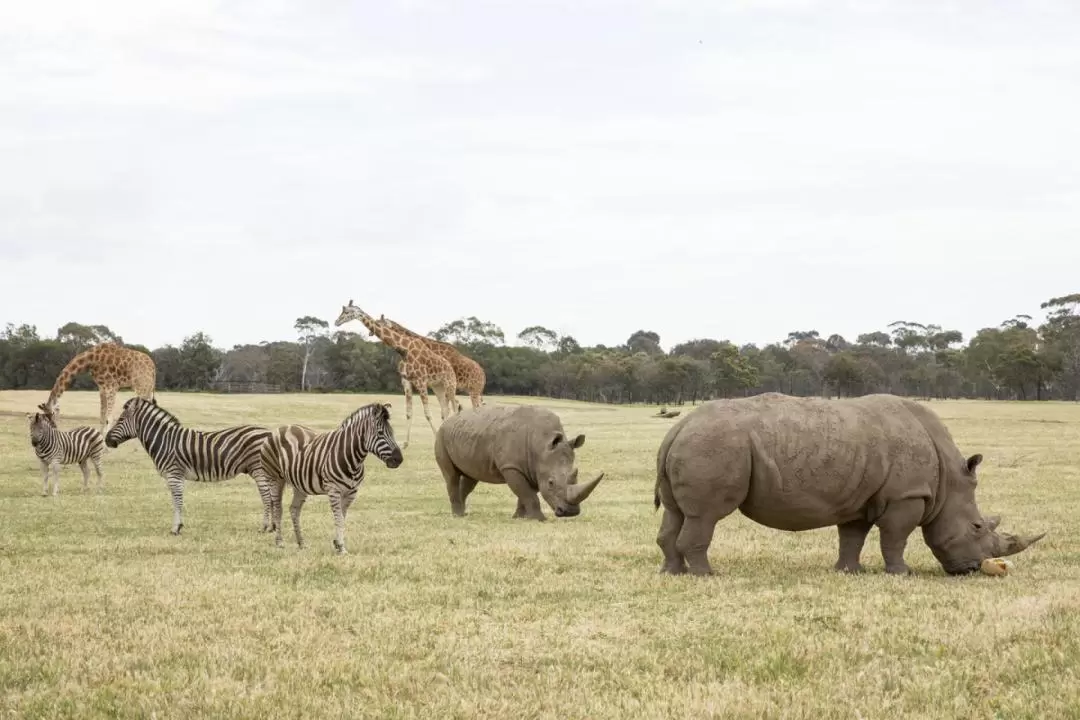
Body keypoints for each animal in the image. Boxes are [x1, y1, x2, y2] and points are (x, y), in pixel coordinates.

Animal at [105, 397, 278, 537]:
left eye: (121, 419)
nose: (106, 440)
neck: (164, 440)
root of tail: (268, 433)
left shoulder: (174, 474)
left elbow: (177, 500)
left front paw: (176, 529)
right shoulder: (177, 476)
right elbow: (177, 500)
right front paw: (178, 526)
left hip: (258, 470)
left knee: (266, 497)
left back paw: (265, 527)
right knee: (271, 497)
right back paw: (273, 527)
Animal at [261, 403, 406, 557]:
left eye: (392, 432)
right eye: (380, 433)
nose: (399, 459)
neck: (352, 458)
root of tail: (281, 428)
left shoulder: (351, 492)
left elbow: (342, 517)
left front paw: (337, 543)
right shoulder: (333, 490)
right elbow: (339, 519)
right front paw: (341, 547)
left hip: (299, 484)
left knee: (294, 510)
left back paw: (301, 543)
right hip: (275, 478)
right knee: (278, 508)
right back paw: (279, 542)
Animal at [334, 300, 457, 446]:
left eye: (347, 312)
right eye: (342, 311)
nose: (336, 322)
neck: (404, 349)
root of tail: (451, 368)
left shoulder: (420, 381)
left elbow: (427, 414)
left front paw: (435, 439)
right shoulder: (407, 381)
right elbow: (409, 413)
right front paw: (405, 444)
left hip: (450, 384)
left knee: (454, 407)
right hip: (438, 386)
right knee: (445, 409)